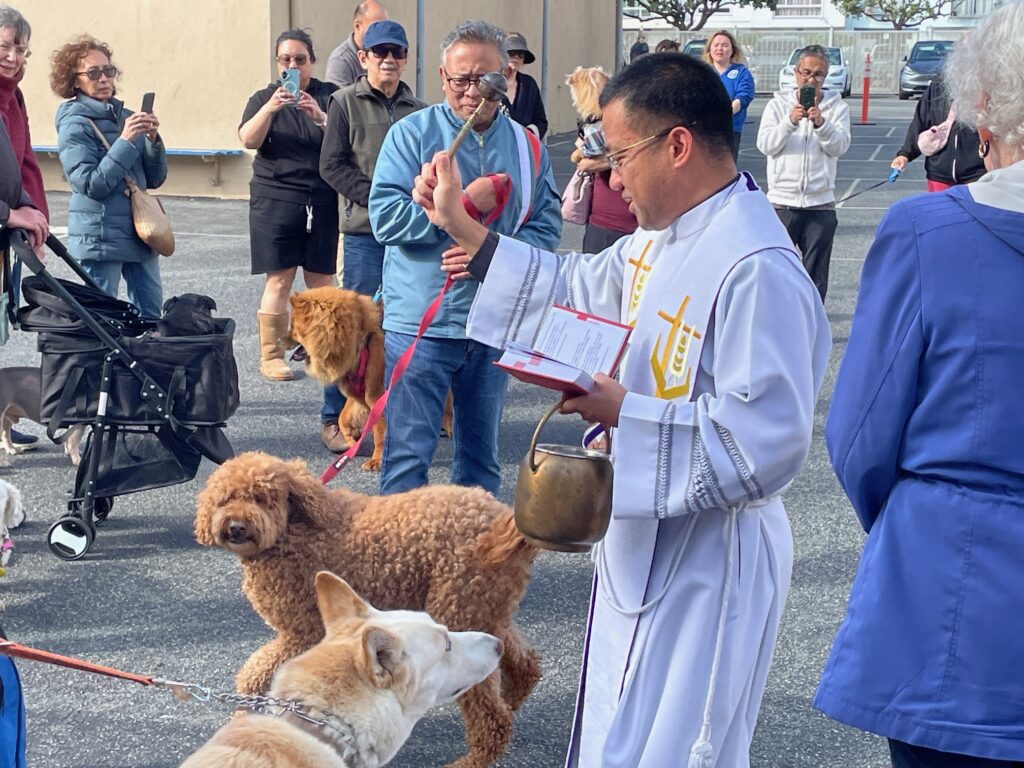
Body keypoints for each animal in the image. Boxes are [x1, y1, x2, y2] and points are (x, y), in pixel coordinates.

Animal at [288, 288, 453, 471]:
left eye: (293, 327)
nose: (282, 337)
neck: (360, 341)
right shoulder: (360, 394)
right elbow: (344, 418)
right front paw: (352, 441)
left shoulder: (377, 396)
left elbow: (379, 432)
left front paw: (377, 460)